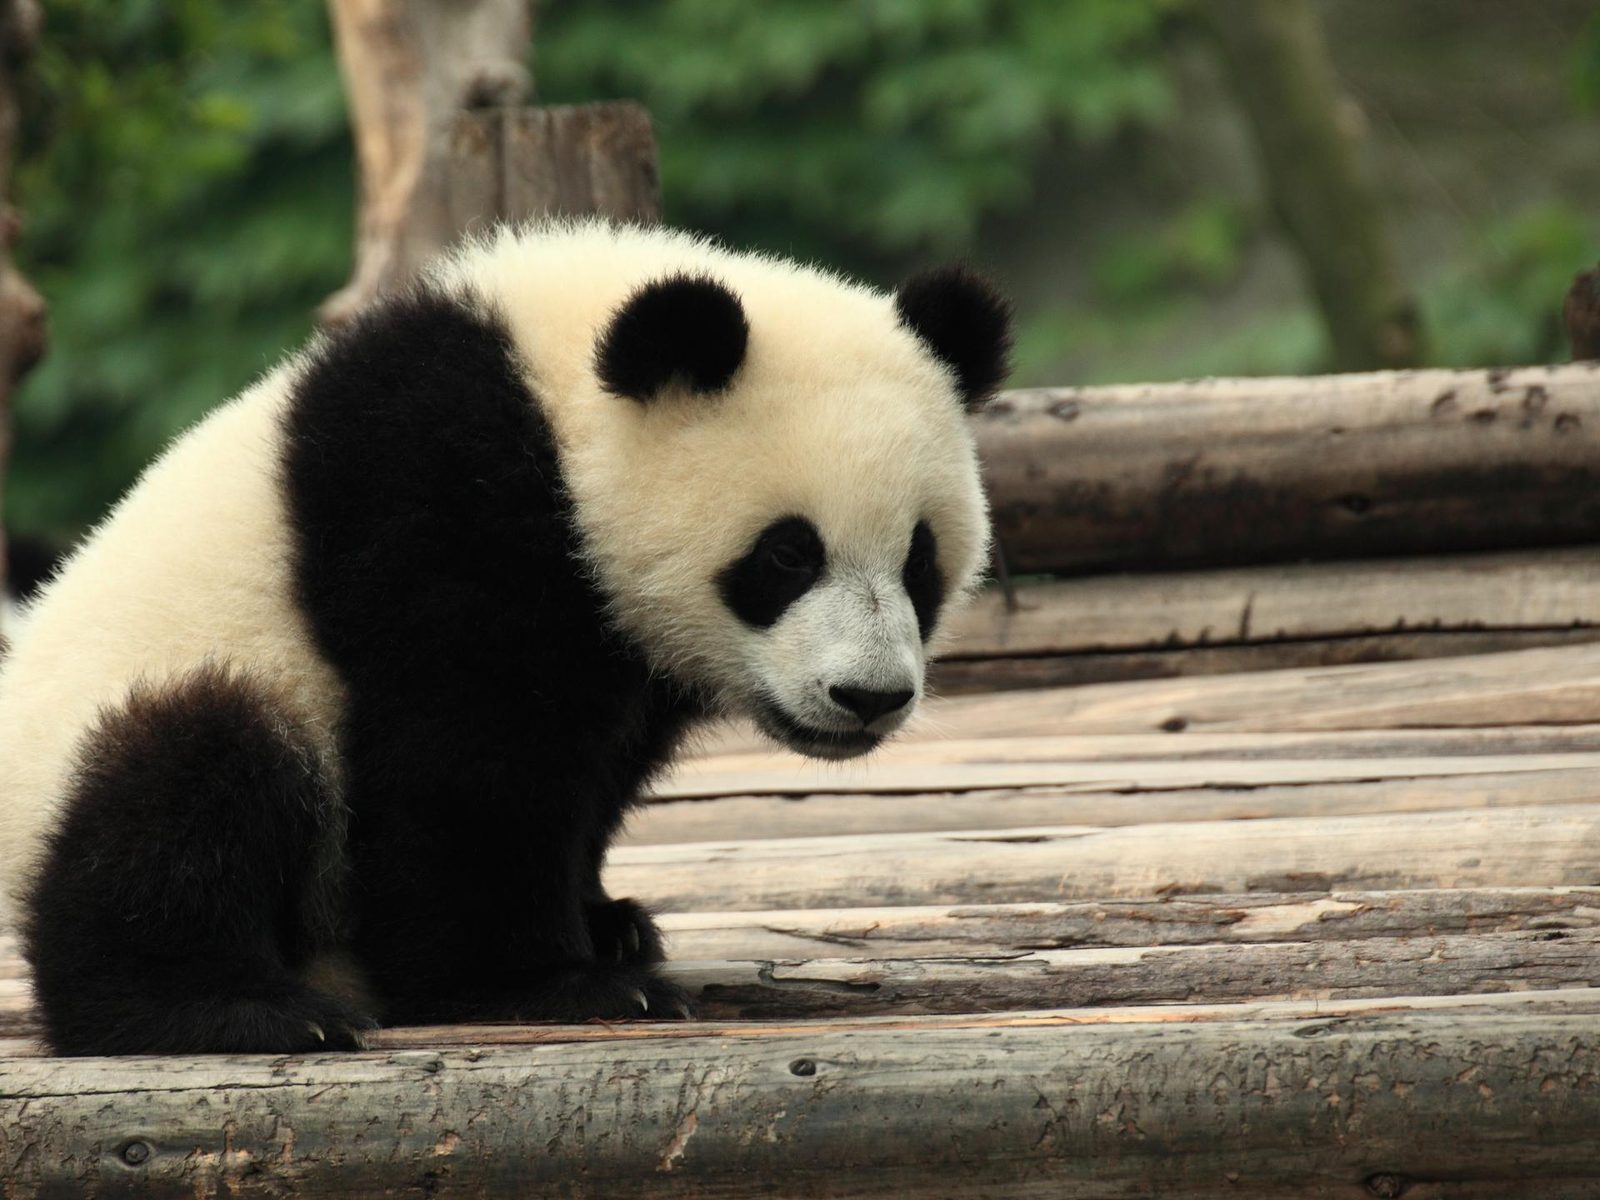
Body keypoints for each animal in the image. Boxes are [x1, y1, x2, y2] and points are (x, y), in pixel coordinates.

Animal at [0, 220, 1009, 1055]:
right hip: (154, 706)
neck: (557, 399)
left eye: (920, 560)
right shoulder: (439, 497)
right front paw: (554, 983)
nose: (868, 697)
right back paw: (230, 1009)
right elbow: (467, 758)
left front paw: (607, 922)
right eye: (788, 554)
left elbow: (594, 767)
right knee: (188, 784)